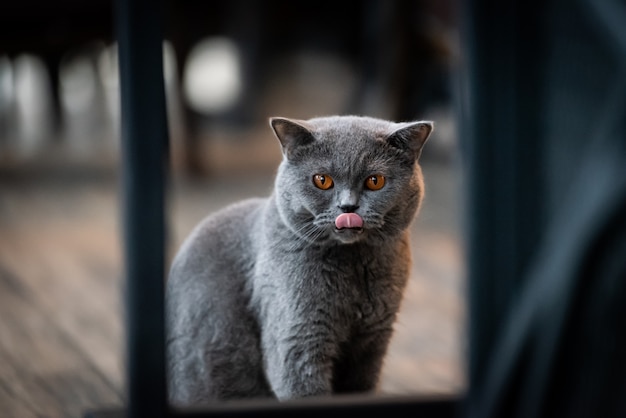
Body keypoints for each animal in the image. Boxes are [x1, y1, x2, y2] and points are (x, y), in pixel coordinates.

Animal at [163, 114, 432, 404]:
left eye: (375, 181)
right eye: (322, 180)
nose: (348, 207)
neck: (353, 266)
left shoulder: (372, 343)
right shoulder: (298, 338)